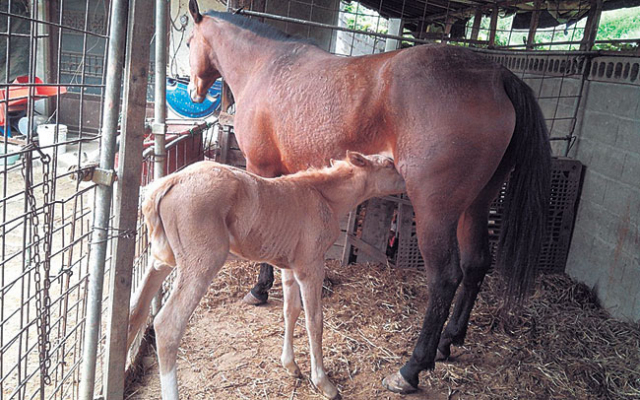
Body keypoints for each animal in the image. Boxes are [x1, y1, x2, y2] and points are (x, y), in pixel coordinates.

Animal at [184, 0, 552, 394]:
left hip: (435, 210)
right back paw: (448, 340)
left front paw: (259, 289)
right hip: (476, 205)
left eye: (189, 41)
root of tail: (496, 75)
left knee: (445, 277)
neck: (266, 66)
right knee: (476, 264)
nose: (193, 92)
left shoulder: (261, 168)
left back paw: (411, 369)